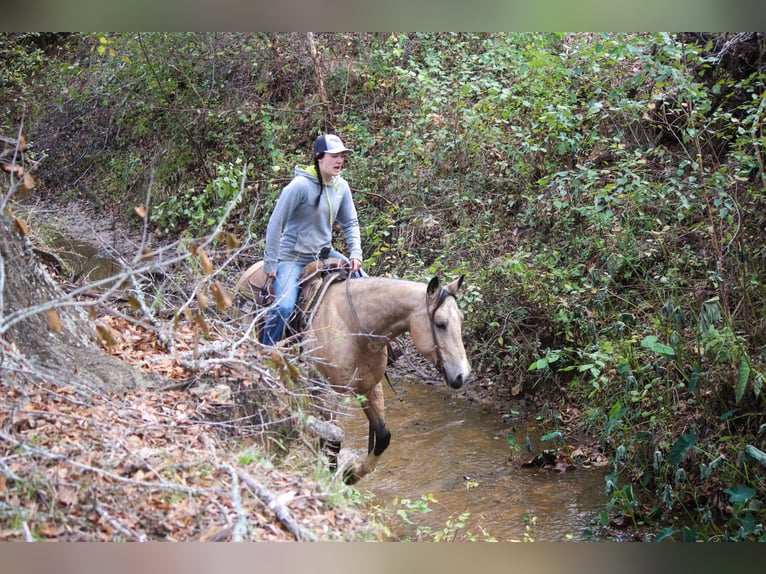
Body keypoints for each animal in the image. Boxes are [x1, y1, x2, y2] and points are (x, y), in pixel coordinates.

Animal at [236, 262, 474, 486]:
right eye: (440, 324)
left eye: (462, 320)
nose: (462, 375)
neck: (354, 329)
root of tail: (248, 272)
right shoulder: (330, 393)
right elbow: (333, 442)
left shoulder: (370, 388)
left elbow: (382, 437)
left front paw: (351, 475)